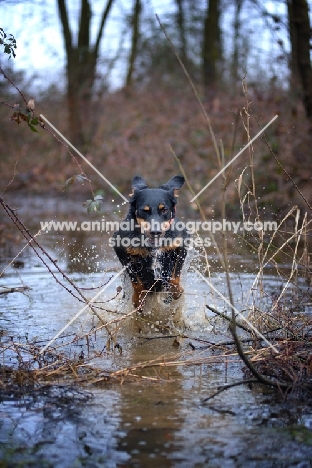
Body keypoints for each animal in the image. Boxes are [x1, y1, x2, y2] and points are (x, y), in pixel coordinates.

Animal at [113, 175, 189, 308]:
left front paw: (177, 291)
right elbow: (136, 281)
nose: (155, 232)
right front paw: (137, 300)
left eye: (164, 209)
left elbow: (175, 275)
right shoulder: (121, 251)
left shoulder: (181, 245)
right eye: (145, 210)